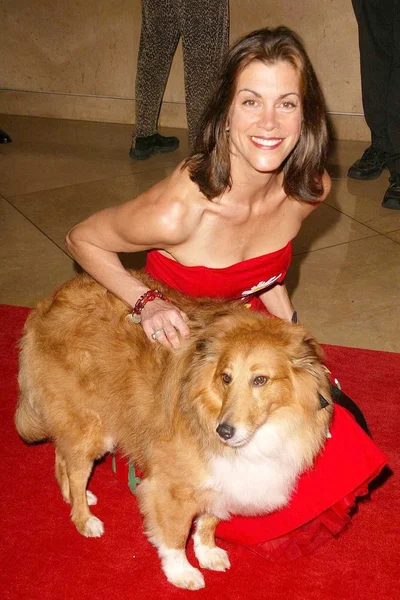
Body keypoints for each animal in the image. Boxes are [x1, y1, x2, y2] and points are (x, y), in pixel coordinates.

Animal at [15, 272, 332, 592]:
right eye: (225, 377)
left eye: (260, 380)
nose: (223, 432)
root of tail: (47, 303)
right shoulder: (171, 487)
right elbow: (176, 535)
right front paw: (181, 572)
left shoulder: (222, 476)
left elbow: (209, 521)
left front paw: (207, 553)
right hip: (92, 427)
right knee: (76, 470)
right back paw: (84, 518)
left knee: (62, 456)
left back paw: (73, 495)